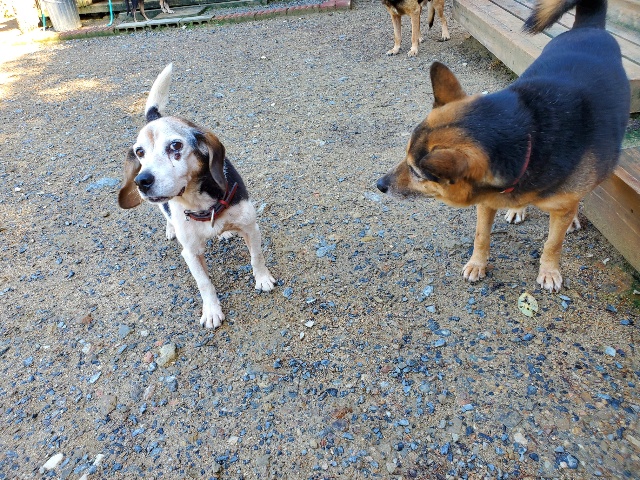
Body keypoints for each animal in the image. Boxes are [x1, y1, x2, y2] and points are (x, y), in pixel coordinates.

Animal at [118, 64, 275, 329]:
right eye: (140, 152)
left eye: (175, 146)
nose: (142, 181)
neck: (201, 203)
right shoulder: (190, 253)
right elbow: (204, 283)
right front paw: (211, 311)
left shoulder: (251, 227)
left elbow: (257, 256)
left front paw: (263, 279)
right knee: (166, 214)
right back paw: (171, 228)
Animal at [377, 0, 630, 292]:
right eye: (405, 157)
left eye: (416, 172)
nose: (380, 185)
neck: (531, 136)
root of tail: (589, 27)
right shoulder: (486, 201)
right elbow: (481, 236)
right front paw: (477, 264)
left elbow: (553, 243)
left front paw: (550, 271)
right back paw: (518, 208)